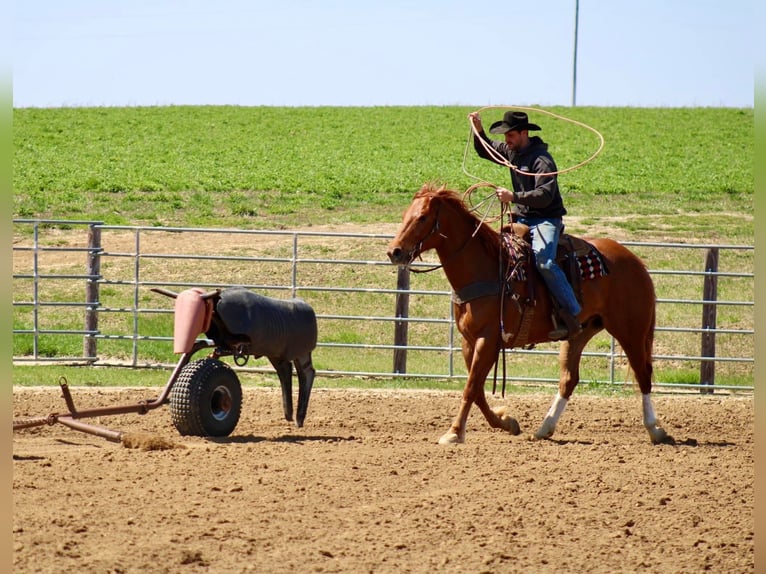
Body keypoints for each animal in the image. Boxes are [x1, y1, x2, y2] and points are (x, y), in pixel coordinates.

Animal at [388, 183, 668, 446]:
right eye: (404, 215)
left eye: (422, 217)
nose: (394, 252)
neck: (487, 268)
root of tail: (634, 260)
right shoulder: (469, 341)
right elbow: (477, 390)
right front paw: (506, 421)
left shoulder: (489, 340)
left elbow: (471, 387)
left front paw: (455, 433)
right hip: (580, 332)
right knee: (569, 379)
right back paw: (544, 428)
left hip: (630, 330)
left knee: (643, 373)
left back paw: (655, 430)